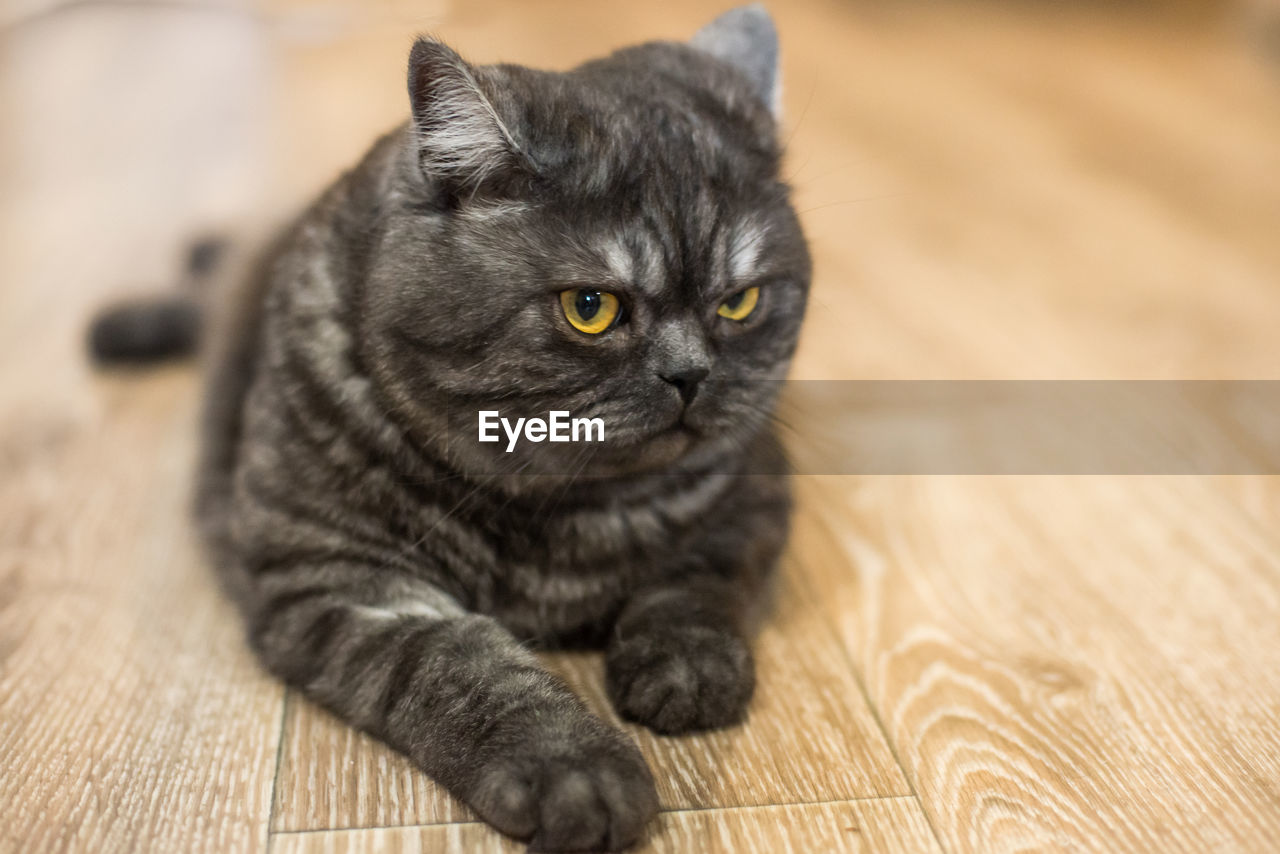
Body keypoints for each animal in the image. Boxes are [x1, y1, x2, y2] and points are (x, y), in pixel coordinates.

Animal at [90, 5, 808, 850]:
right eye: (590, 309)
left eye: (741, 302)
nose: (690, 377)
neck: (562, 507)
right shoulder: (342, 575)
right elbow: (461, 664)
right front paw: (579, 773)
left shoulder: (756, 496)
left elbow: (700, 579)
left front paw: (687, 669)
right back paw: (123, 324)